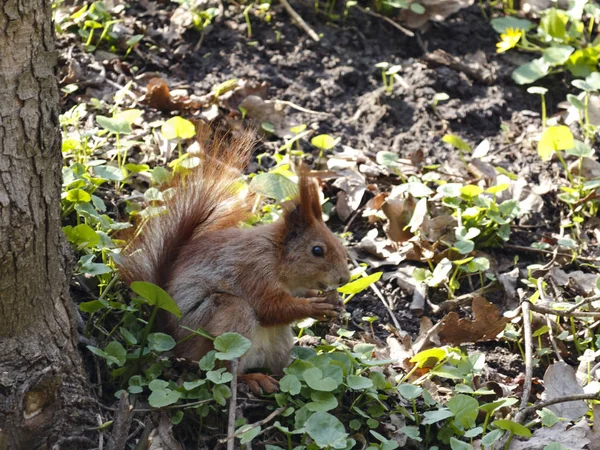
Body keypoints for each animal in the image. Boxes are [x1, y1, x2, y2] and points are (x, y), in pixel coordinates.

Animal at [119, 128, 350, 392]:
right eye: (317, 250)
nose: (345, 279)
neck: (277, 256)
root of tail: (173, 340)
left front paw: (333, 303)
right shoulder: (254, 271)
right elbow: (270, 307)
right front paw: (314, 307)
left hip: (278, 342)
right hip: (224, 321)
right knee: (224, 369)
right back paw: (253, 379)